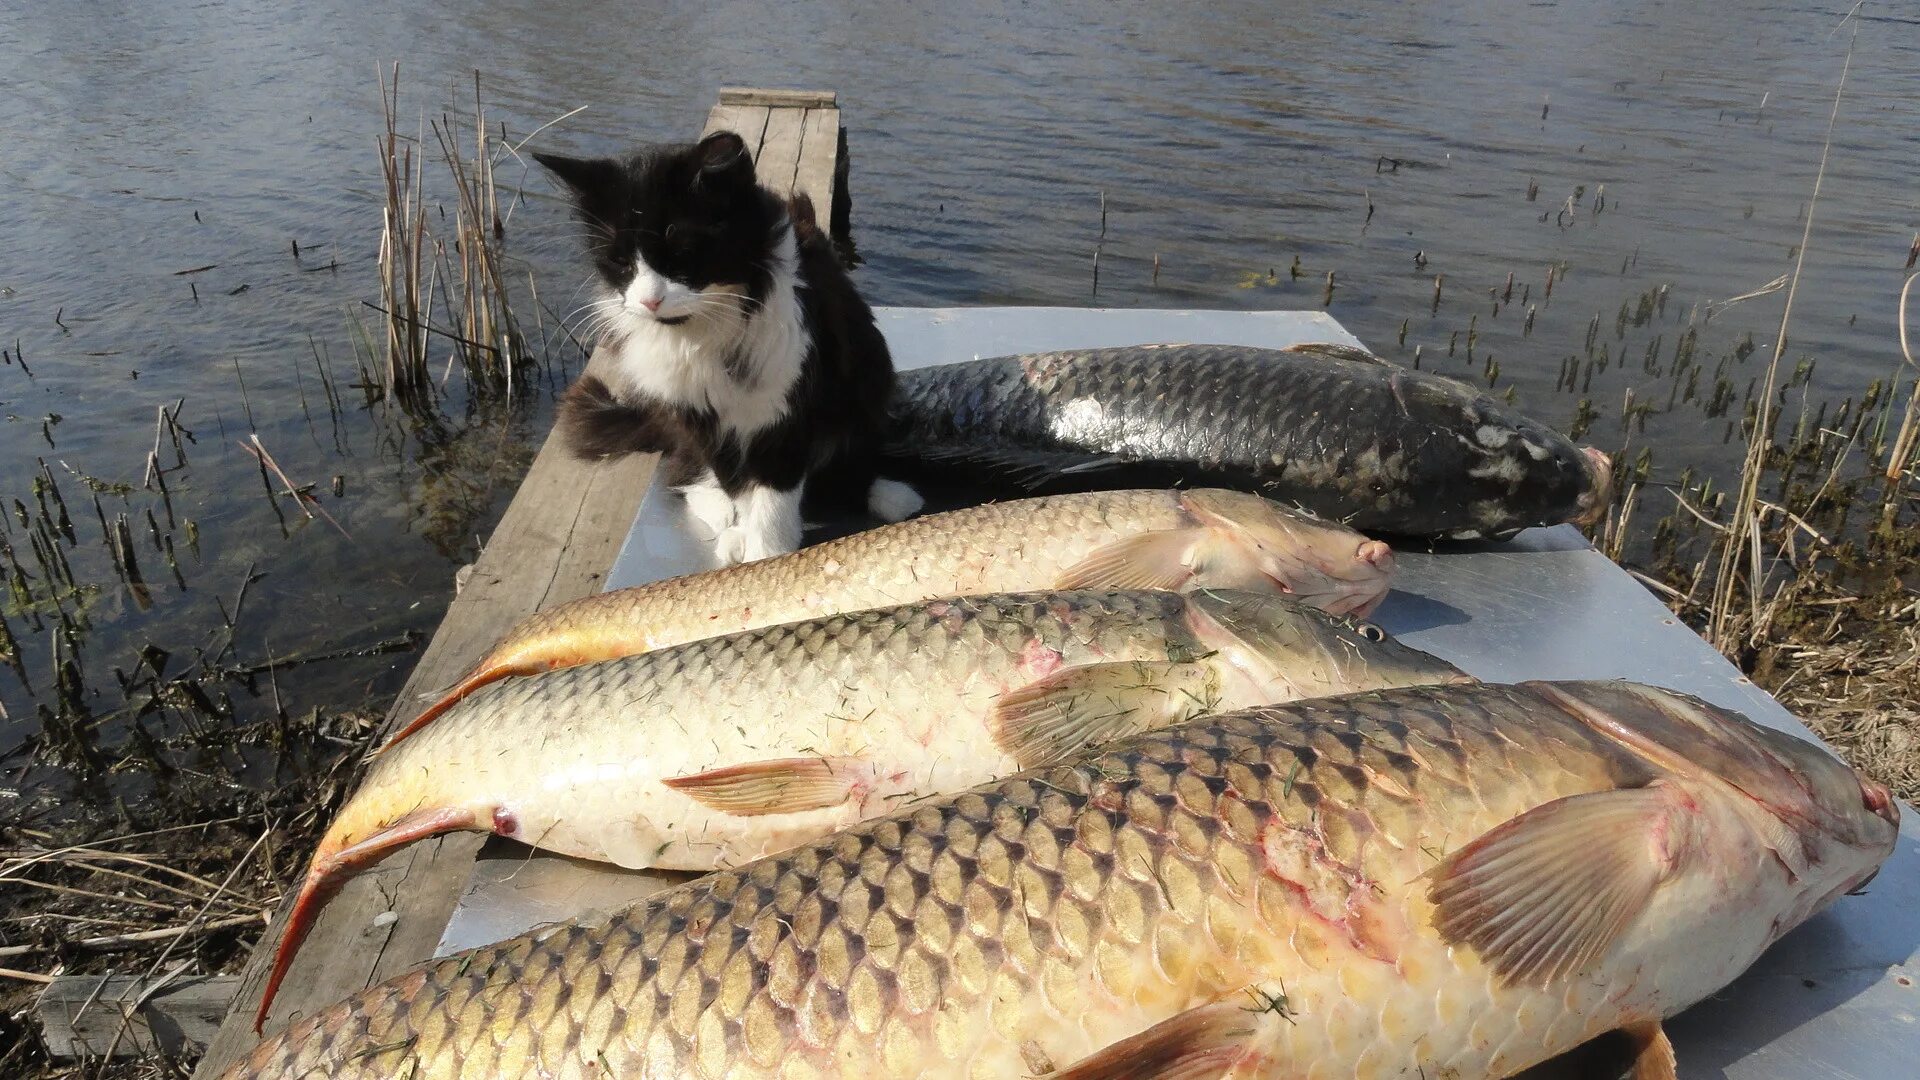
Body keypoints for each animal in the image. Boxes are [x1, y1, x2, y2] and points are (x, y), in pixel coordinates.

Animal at [533, 129, 921, 557]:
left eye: (683, 252)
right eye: (619, 262)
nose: (650, 301)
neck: (704, 331)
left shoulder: (789, 410)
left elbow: (773, 495)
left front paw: (768, 554)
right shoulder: (704, 417)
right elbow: (737, 486)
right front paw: (747, 539)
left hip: (867, 386)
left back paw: (891, 496)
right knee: (681, 471)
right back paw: (721, 514)